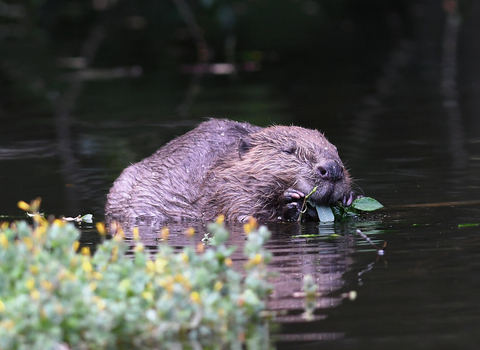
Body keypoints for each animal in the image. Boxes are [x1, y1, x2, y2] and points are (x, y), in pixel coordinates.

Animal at [105, 117, 354, 221]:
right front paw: (290, 202)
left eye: (334, 149)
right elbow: (244, 215)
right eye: (289, 151)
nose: (332, 169)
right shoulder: (225, 191)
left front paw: (348, 198)